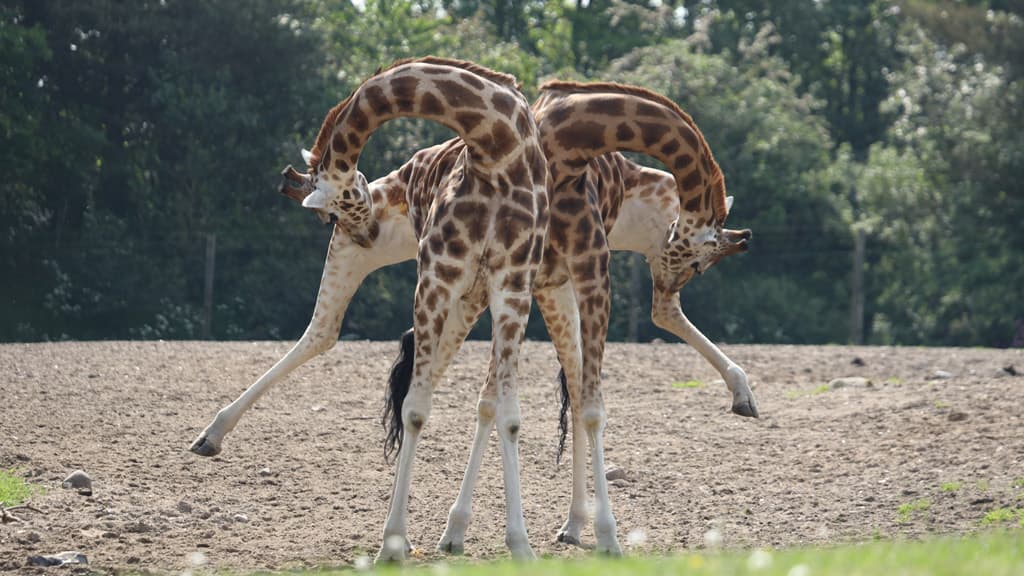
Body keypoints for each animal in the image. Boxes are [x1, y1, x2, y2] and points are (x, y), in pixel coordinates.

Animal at [188, 57, 548, 563]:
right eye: (332, 213)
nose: (365, 229)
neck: (497, 146)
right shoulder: (437, 275)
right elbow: (415, 410)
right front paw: (392, 542)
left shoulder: (512, 287)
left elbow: (509, 416)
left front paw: (520, 545)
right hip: (384, 271)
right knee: (322, 332)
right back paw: (210, 435)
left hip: (465, 301)